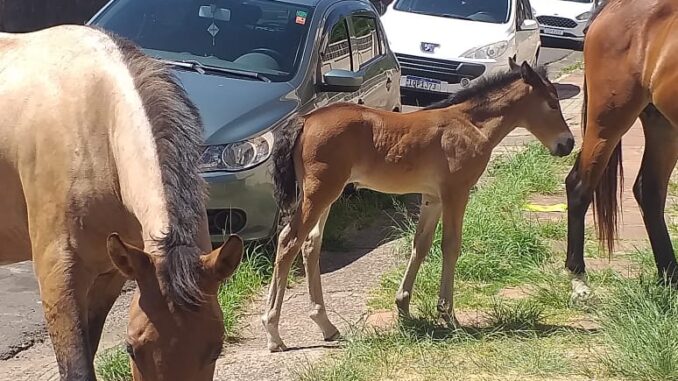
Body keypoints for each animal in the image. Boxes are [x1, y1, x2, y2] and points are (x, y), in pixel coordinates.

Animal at [262, 58, 576, 352]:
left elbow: (421, 245)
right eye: (552, 103)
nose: (568, 144)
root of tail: (306, 119)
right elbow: (451, 246)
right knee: (289, 241)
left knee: (310, 244)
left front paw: (404, 306)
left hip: (325, 195)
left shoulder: (433, 197)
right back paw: (273, 332)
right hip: (320, 192)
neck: (471, 125)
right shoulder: (456, 193)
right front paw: (448, 315)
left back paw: (326, 325)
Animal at [564, 0, 678, 300]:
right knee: (579, 186)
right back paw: (578, 278)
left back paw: (670, 277)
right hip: (608, 118)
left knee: (649, 191)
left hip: (662, 123)